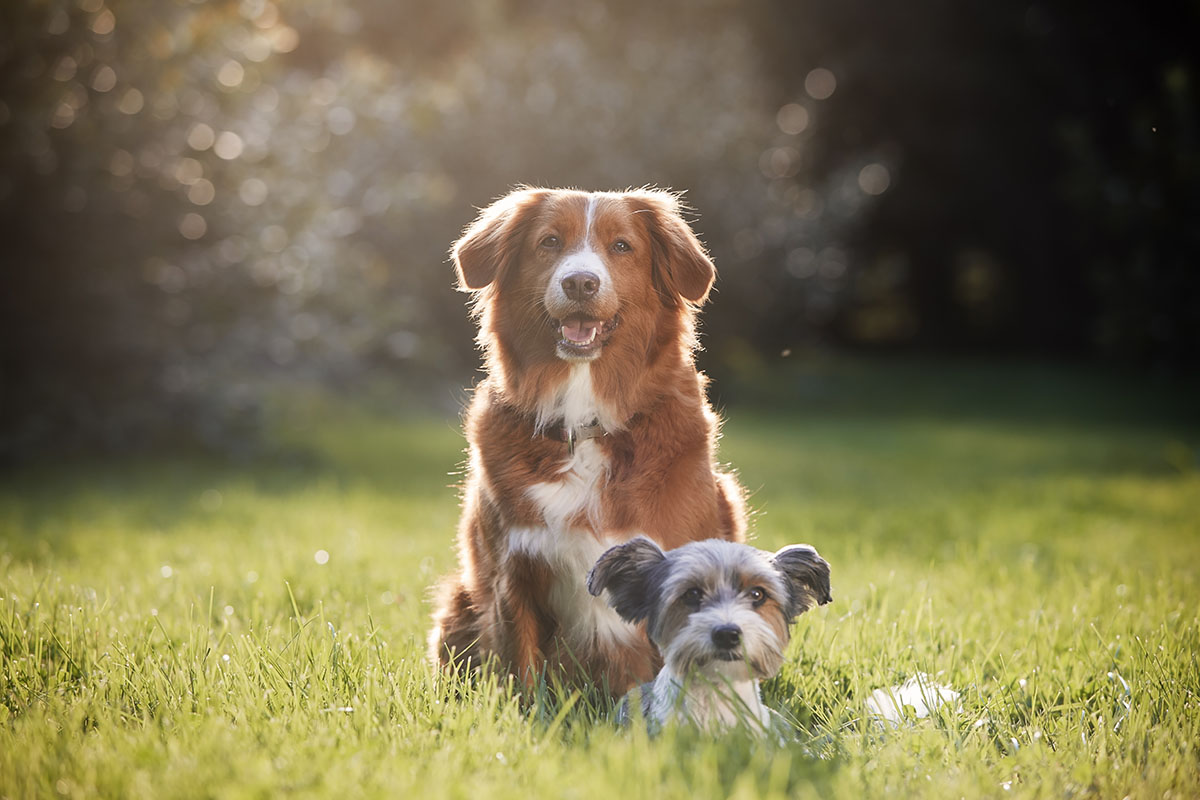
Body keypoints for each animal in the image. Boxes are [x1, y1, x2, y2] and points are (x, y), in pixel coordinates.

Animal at [427, 188, 744, 695]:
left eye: (622, 246)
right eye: (550, 242)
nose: (579, 283)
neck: (585, 422)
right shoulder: (513, 574)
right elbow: (521, 670)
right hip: (461, 599)